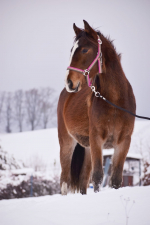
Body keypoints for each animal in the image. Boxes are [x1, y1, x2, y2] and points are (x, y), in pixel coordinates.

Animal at [57, 20, 136, 194]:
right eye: (72, 50)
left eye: (85, 49)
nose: (69, 82)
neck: (115, 102)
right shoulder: (97, 140)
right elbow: (98, 177)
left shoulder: (123, 142)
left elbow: (116, 179)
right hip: (67, 142)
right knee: (64, 181)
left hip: (87, 148)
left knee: (83, 181)